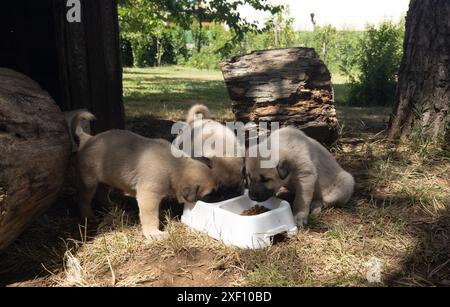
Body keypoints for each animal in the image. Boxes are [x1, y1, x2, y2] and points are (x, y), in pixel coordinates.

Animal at [71, 112, 215, 242]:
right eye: (209, 194)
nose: (215, 198)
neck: (176, 166)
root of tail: (87, 139)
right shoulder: (148, 195)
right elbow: (150, 217)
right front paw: (153, 233)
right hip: (88, 183)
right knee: (83, 199)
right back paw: (88, 217)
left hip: (107, 178)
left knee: (102, 193)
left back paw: (110, 206)